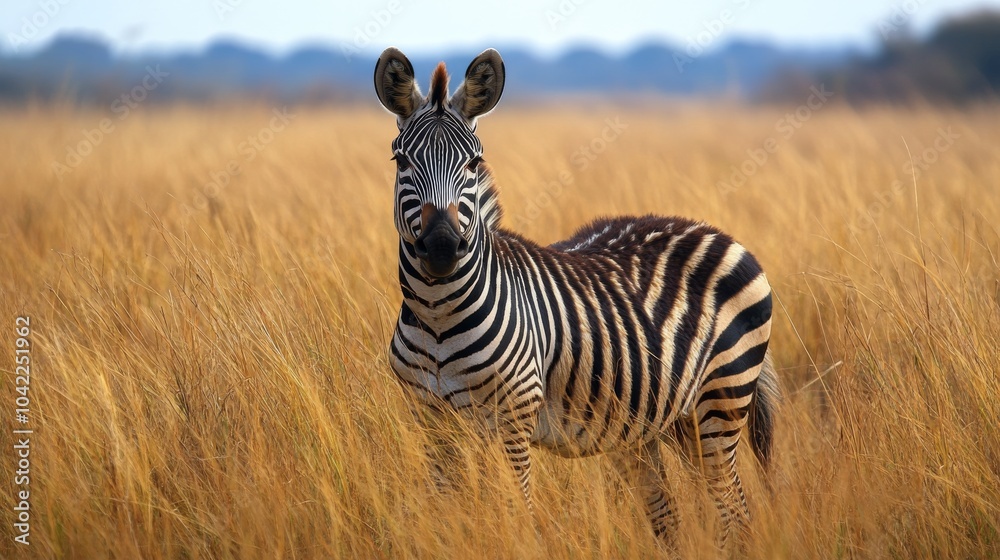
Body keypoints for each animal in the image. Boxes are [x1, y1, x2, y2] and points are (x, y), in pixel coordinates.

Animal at [376, 48, 780, 548]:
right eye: (400, 161)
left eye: (472, 163)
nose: (441, 248)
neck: (437, 315)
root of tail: (715, 231)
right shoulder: (431, 421)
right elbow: (446, 518)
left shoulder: (512, 419)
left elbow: (519, 514)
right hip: (660, 420)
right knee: (671, 512)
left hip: (721, 400)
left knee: (732, 509)